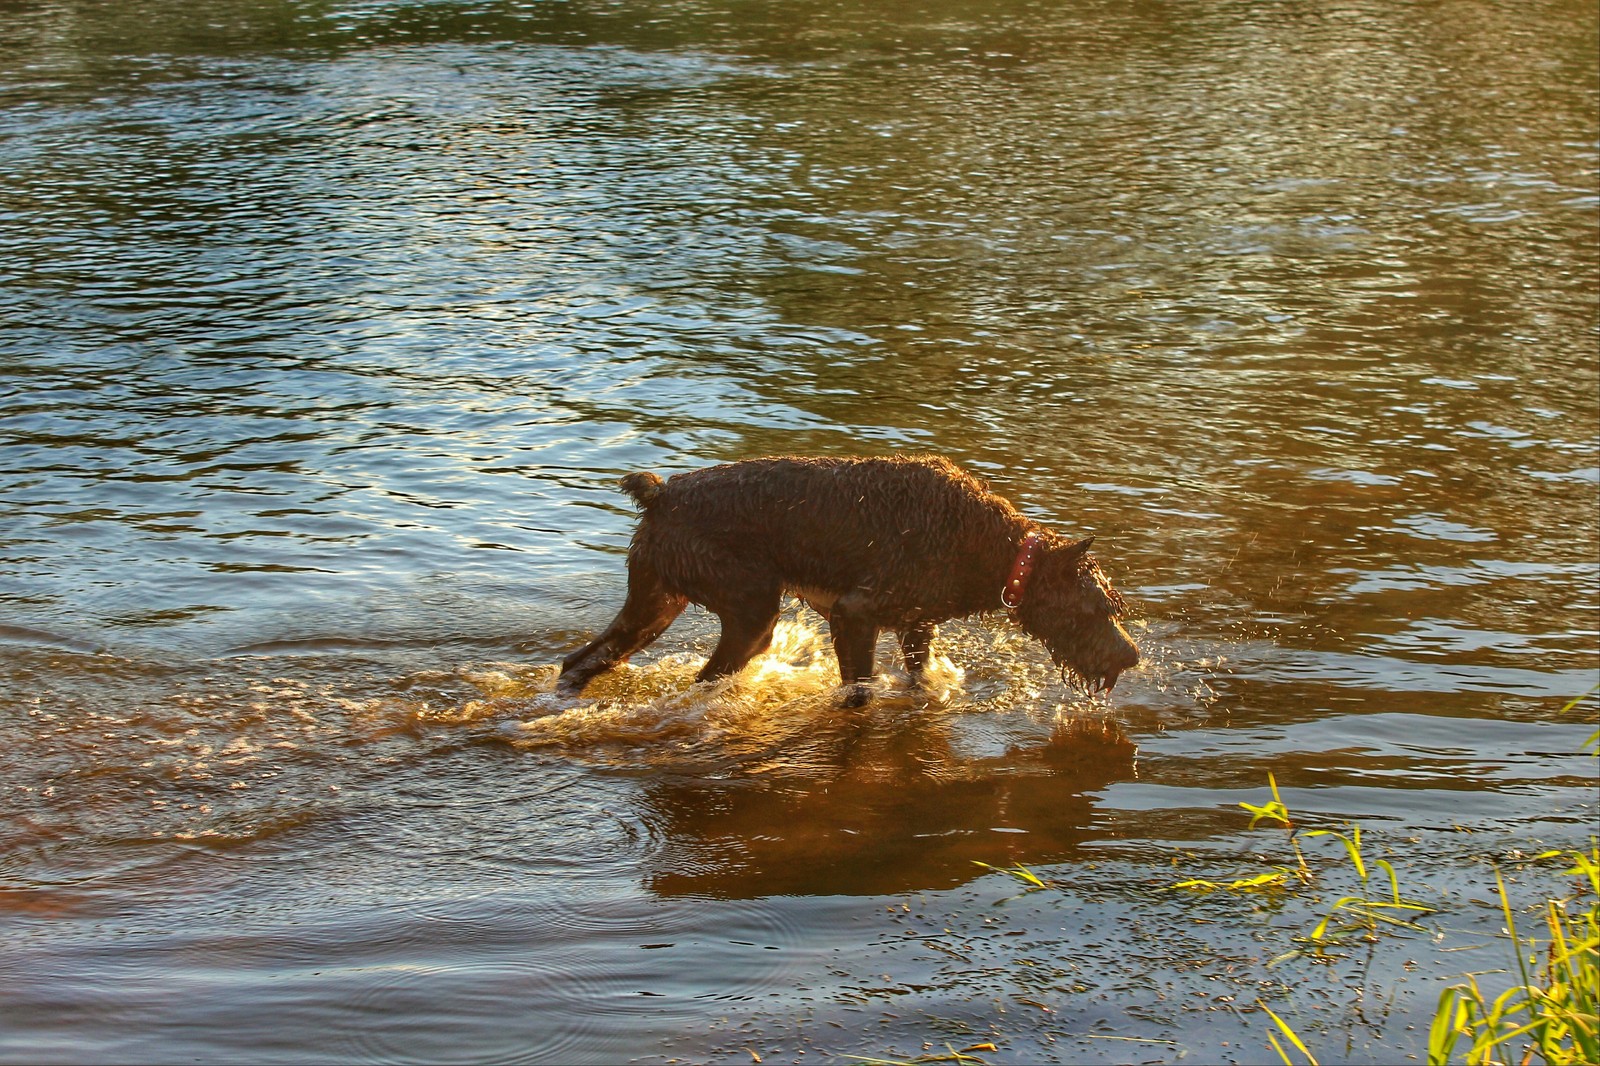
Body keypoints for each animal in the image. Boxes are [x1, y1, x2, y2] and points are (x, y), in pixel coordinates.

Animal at [560, 451, 1139, 701]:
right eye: (1097, 609)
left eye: (1116, 607)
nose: (1131, 656)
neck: (997, 551)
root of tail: (660, 494)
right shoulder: (855, 612)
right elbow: (860, 688)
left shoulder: (916, 624)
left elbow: (917, 674)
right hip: (749, 610)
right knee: (703, 679)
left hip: (656, 603)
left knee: (581, 659)